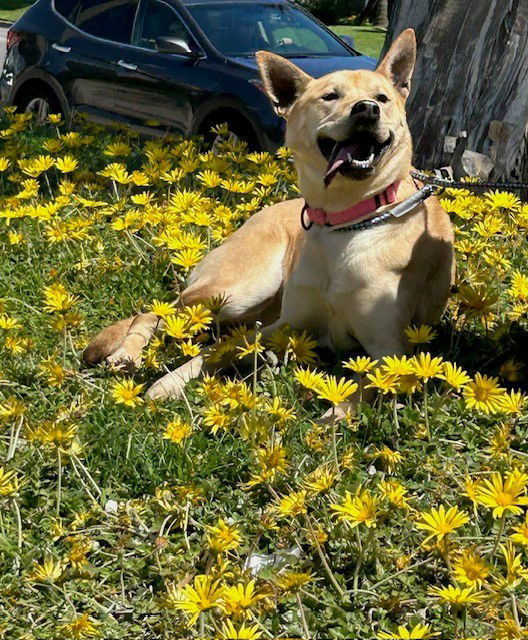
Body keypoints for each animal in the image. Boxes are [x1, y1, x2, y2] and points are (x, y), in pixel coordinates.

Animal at [83, 32, 454, 400]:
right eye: (330, 96)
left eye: (382, 98)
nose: (367, 109)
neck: (345, 221)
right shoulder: (286, 323)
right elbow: (213, 352)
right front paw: (170, 381)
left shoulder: (391, 353)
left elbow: (356, 393)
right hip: (239, 289)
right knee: (152, 314)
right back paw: (127, 354)